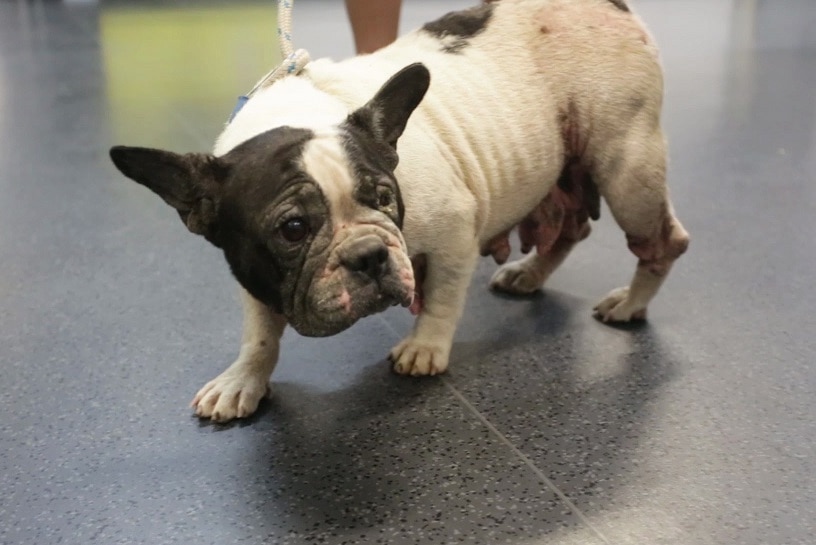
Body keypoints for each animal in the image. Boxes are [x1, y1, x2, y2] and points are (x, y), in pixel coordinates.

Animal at [110, 0, 688, 420]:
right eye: (292, 229)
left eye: (384, 197)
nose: (369, 254)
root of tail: (613, 5)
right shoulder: (251, 272)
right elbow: (259, 332)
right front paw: (242, 380)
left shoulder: (454, 232)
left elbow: (443, 298)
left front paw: (425, 348)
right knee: (569, 229)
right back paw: (529, 274)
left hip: (626, 169)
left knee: (663, 241)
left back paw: (630, 303)